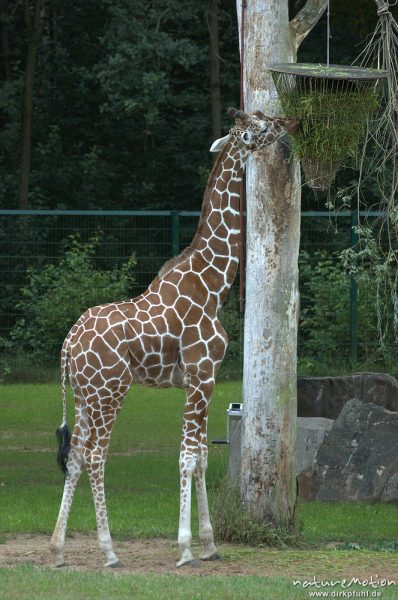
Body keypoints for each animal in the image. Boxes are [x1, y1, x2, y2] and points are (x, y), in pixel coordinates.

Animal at [50, 108, 298, 568]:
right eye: (258, 126)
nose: (287, 123)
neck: (215, 285)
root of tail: (68, 345)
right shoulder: (201, 376)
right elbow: (185, 458)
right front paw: (185, 549)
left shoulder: (204, 381)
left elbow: (201, 457)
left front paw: (210, 545)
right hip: (111, 390)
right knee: (94, 457)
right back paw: (109, 552)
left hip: (83, 395)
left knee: (74, 457)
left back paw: (57, 550)